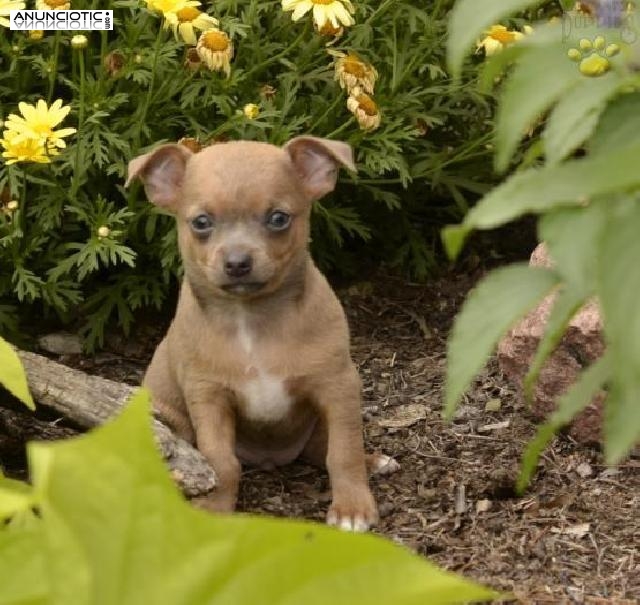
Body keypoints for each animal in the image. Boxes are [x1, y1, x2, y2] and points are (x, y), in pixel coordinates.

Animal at [125, 136, 390, 528]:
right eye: (201, 222)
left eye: (278, 218)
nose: (237, 263)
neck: (250, 320)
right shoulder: (209, 397)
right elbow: (220, 461)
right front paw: (215, 508)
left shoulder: (338, 386)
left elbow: (344, 451)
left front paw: (352, 508)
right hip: (170, 418)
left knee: (323, 448)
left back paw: (374, 462)